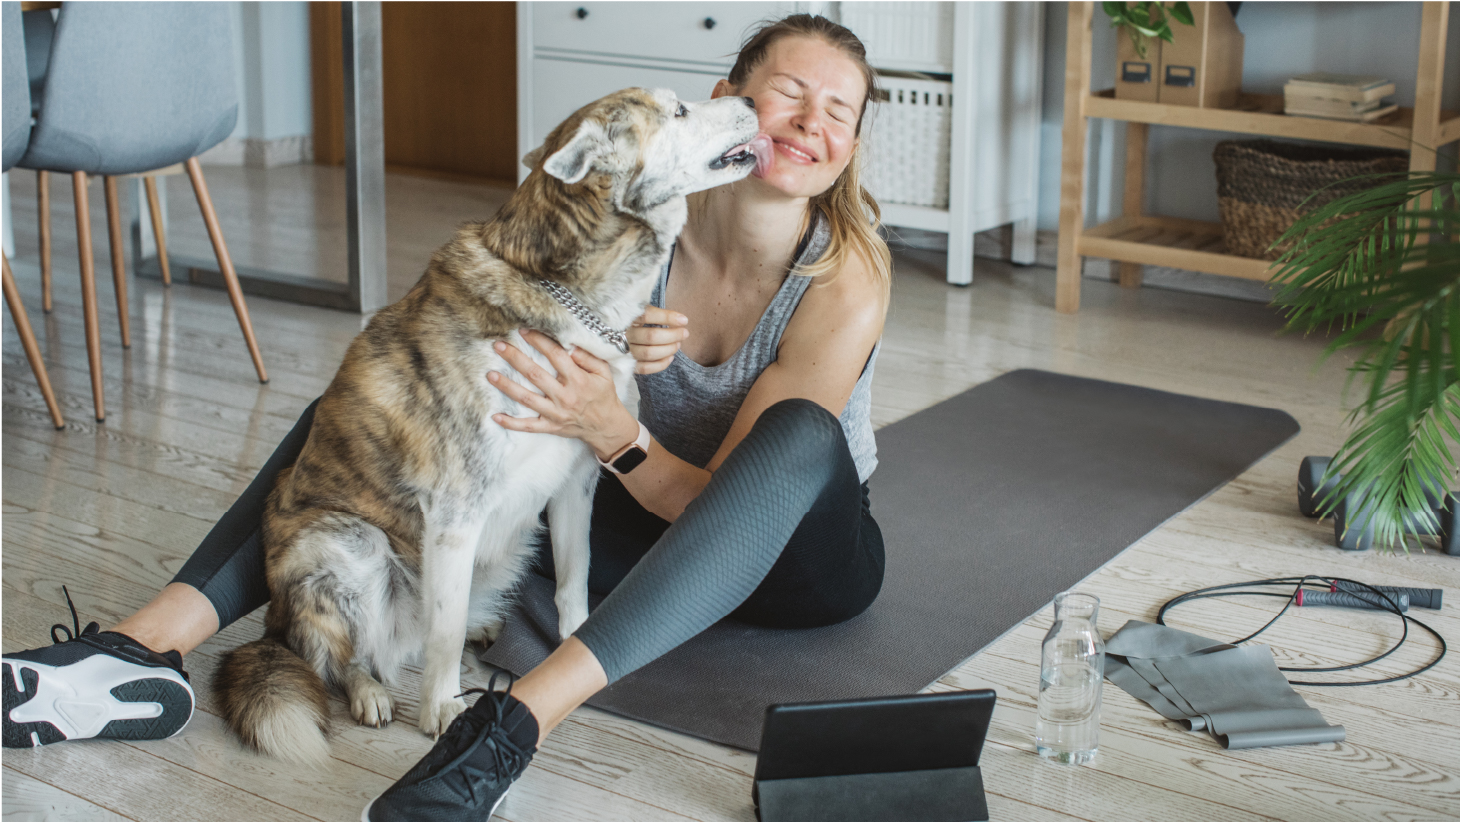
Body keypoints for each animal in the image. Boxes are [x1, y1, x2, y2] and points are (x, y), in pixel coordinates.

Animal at [216, 90, 765, 765]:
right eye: (680, 111)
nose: (750, 98)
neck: (572, 295)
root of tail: (275, 623)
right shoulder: (456, 511)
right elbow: (444, 632)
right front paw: (442, 710)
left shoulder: (575, 484)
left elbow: (574, 584)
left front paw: (574, 652)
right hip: (349, 546)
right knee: (343, 655)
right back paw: (370, 690)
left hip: (512, 540)